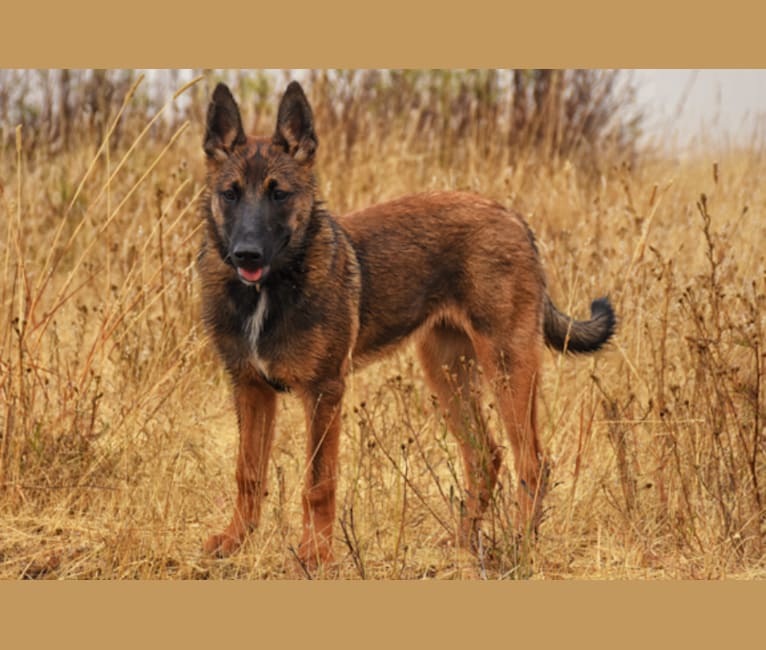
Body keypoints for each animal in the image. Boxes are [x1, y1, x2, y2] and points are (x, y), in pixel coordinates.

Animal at [198, 79, 616, 568]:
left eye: (278, 194)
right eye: (230, 193)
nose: (246, 253)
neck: (271, 289)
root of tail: (512, 217)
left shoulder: (323, 393)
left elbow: (318, 483)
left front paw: (315, 554)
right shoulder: (251, 389)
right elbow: (247, 472)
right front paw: (235, 541)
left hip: (507, 366)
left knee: (532, 461)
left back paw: (518, 545)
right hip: (447, 372)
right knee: (485, 456)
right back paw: (464, 541)